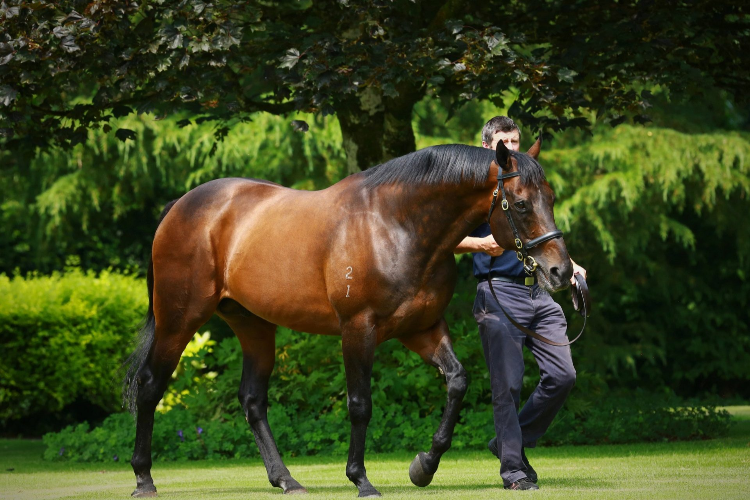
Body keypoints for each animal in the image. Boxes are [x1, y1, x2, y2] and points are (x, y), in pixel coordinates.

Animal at [123, 138, 572, 496]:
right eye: (520, 204)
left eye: (550, 198)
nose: (561, 272)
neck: (396, 225)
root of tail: (180, 206)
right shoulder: (358, 329)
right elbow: (360, 404)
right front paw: (361, 479)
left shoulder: (422, 328)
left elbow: (457, 381)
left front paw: (424, 466)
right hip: (179, 320)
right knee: (150, 386)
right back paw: (144, 479)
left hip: (253, 325)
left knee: (252, 400)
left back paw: (286, 480)